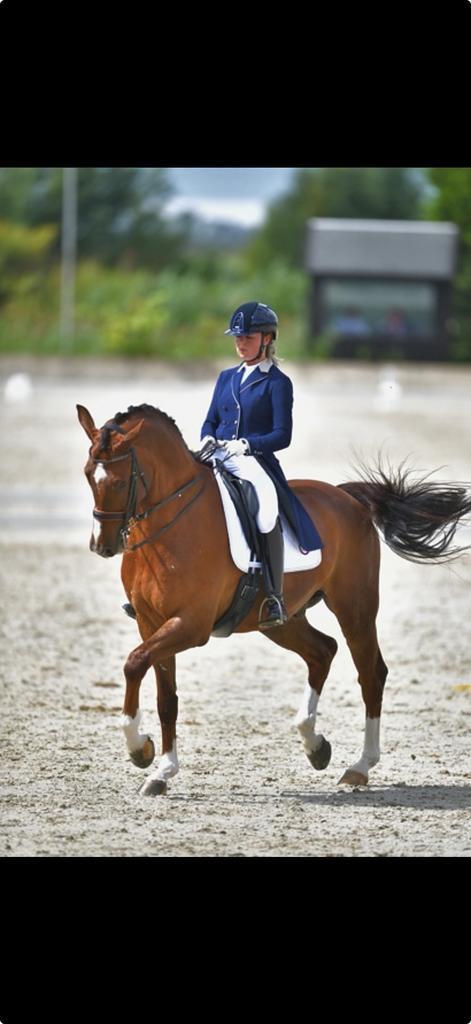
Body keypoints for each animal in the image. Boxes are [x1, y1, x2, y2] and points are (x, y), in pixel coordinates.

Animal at [77, 402, 471, 796]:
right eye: (87, 476)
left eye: (118, 481)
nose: (102, 546)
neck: (171, 523)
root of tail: (347, 497)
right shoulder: (151, 623)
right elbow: (164, 697)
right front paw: (159, 768)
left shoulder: (190, 625)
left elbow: (133, 663)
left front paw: (138, 748)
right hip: (280, 620)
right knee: (322, 651)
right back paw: (315, 745)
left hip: (354, 609)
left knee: (371, 673)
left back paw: (359, 766)